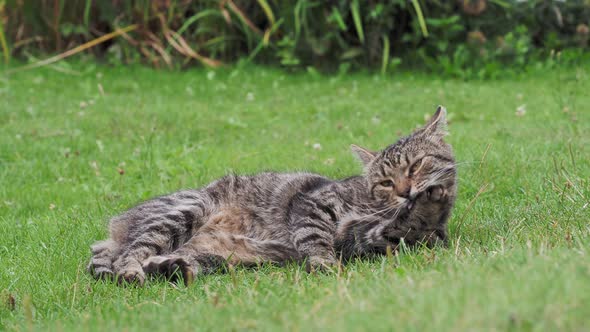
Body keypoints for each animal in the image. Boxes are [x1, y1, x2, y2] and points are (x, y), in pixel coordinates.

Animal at [88, 105, 458, 286]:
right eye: (384, 182)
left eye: (415, 166)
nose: (405, 192)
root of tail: (117, 225)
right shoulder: (313, 204)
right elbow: (314, 237)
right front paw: (323, 263)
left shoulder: (364, 236)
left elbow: (410, 229)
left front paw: (429, 206)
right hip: (186, 210)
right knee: (129, 254)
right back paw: (133, 271)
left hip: (215, 255)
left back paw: (173, 269)